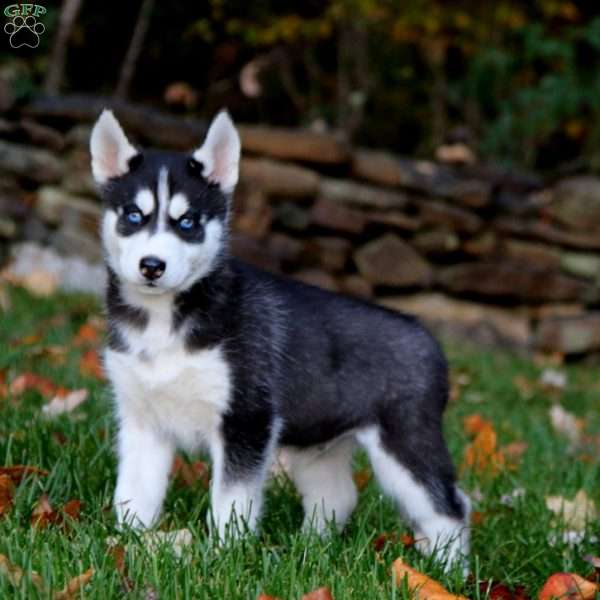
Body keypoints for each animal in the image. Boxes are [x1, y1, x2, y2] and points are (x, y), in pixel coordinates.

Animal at [90, 109, 468, 572]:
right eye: (133, 216)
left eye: (187, 223)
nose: (152, 265)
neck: (163, 318)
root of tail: (427, 335)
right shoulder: (142, 419)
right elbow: (133, 492)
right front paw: (125, 542)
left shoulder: (246, 419)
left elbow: (231, 501)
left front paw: (224, 556)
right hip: (317, 442)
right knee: (338, 496)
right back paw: (308, 550)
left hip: (405, 442)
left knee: (448, 505)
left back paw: (449, 571)